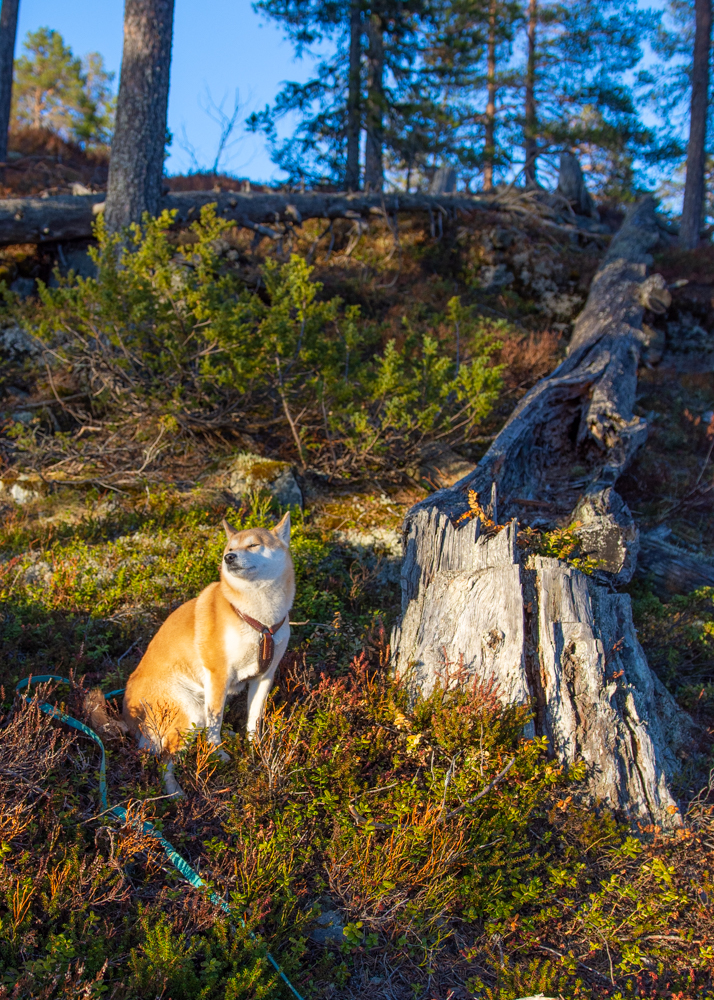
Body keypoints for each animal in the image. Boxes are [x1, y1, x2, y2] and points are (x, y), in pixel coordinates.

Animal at [121, 512, 294, 792]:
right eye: (229, 548)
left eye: (253, 545)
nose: (229, 558)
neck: (259, 620)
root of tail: (128, 717)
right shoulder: (218, 675)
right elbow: (215, 725)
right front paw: (218, 754)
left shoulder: (264, 677)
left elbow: (254, 720)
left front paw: (255, 749)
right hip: (191, 712)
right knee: (165, 760)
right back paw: (174, 792)